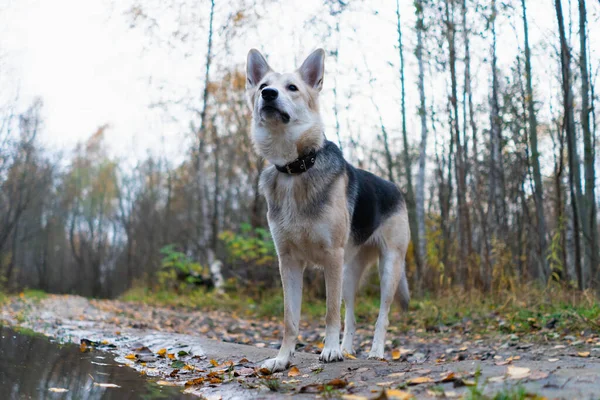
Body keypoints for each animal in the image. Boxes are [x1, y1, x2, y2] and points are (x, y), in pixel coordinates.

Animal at [246, 49, 410, 372]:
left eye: (292, 88)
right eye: (263, 87)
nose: (268, 95)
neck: (295, 169)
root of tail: (396, 188)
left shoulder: (331, 258)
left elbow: (330, 312)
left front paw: (330, 350)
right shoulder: (289, 262)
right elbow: (290, 319)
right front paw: (283, 358)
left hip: (388, 268)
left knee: (381, 315)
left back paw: (375, 351)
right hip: (348, 273)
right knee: (352, 314)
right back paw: (348, 349)